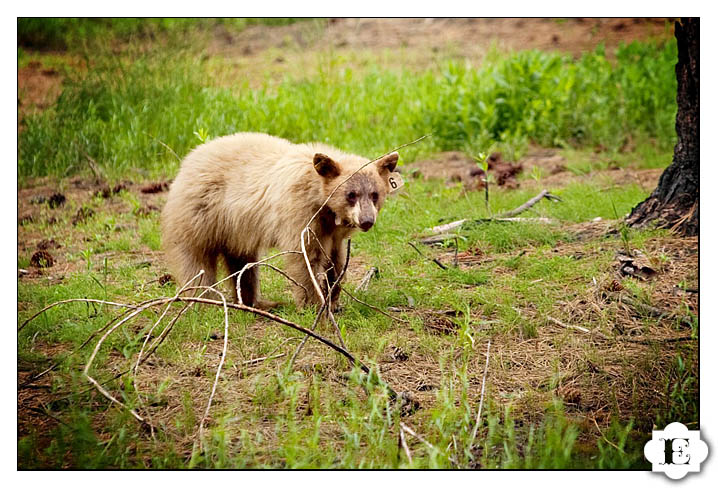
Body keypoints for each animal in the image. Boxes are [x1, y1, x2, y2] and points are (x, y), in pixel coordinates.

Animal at [160, 132, 400, 310]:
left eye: (375, 194)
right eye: (351, 194)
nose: (367, 221)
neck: (320, 200)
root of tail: (187, 161)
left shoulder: (333, 231)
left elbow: (336, 261)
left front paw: (333, 298)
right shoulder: (300, 213)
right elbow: (304, 257)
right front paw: (313, 303)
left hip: (235, 229)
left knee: (243, 263)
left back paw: (254, 302)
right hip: (200, 215)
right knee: (196, 260)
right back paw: (203, 300)